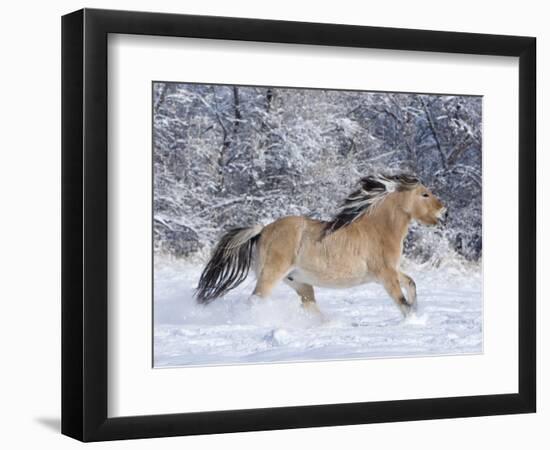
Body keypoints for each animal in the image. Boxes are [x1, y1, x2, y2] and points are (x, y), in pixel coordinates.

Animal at [196, 172, 446, 316]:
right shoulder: (385, 275)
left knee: (310, 307)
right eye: (424, 194)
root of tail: (263, 230)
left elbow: (411, 283)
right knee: (255, 301)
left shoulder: (392, 271)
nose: (444, 210)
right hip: (271, 276)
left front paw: (417, 309)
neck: (377, 230)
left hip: (300, 283)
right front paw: (414, 320)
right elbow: (402, 303)